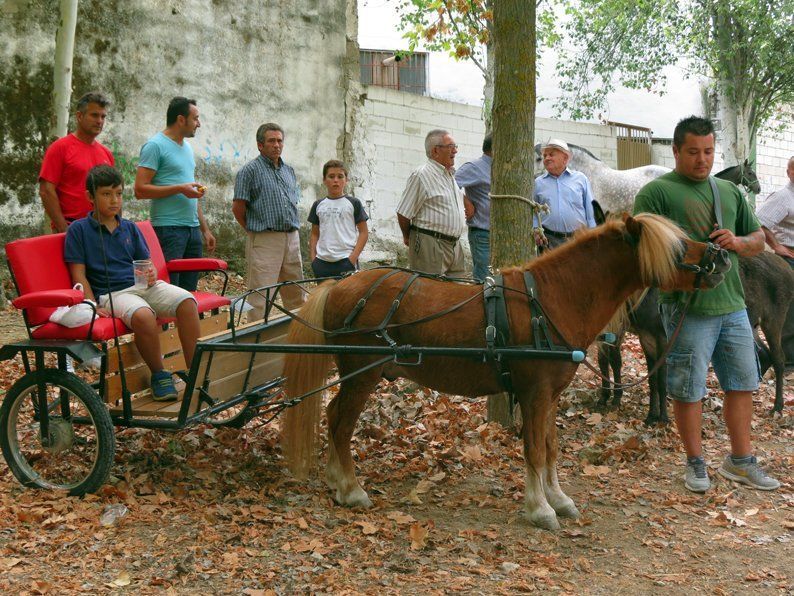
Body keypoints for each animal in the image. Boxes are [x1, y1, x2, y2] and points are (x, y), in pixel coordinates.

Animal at [280, 212, 732, 528]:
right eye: (678, 249)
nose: (722, 256)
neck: (549, 300)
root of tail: (340, 285)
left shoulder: (548, 396)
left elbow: (550, 447)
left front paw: (558, 499)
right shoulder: (533, 394)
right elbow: (533, 448)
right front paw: (539, 508)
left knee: (333, 417)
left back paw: (336, 481)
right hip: (362, 377)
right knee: (340, 424)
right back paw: (351, 489)